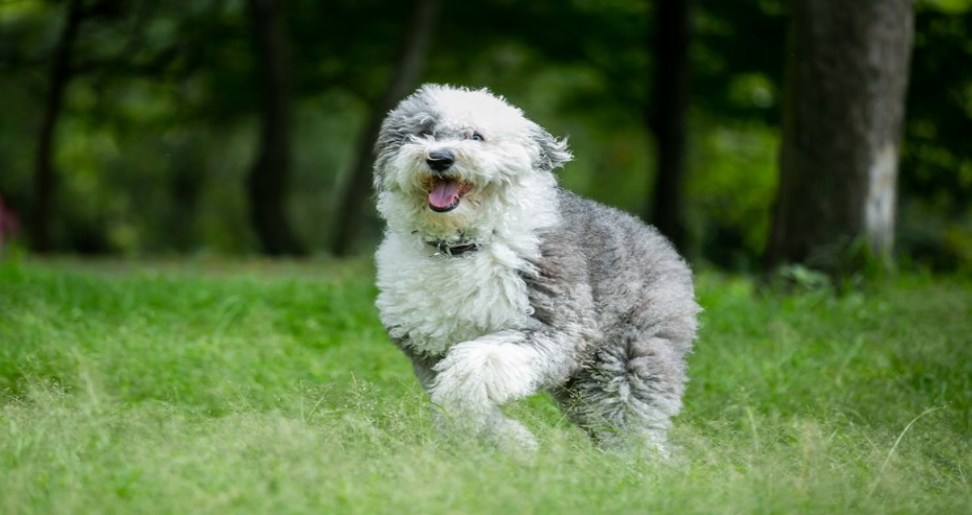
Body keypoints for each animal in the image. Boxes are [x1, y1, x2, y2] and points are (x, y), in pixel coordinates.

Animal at [372, 84, 700, 456]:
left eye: (476, 136)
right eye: (424, 132)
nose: (439, 158)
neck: (462, 248)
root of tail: (660, 240)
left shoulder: (553, 323)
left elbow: (474, 372)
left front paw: (513, 442)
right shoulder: (427, 348)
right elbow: (457, 397)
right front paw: (513, 443)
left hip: (630, 351)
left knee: (631, 412)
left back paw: (642, 462)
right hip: (581, 383)